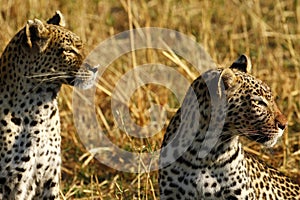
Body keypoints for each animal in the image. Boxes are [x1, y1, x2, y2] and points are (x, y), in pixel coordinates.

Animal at [0, 11, 97, 200]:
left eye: (81, 46)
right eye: (68, 50)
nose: (96, 67)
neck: (39, 110)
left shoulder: (50, 175)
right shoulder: (12, 180)